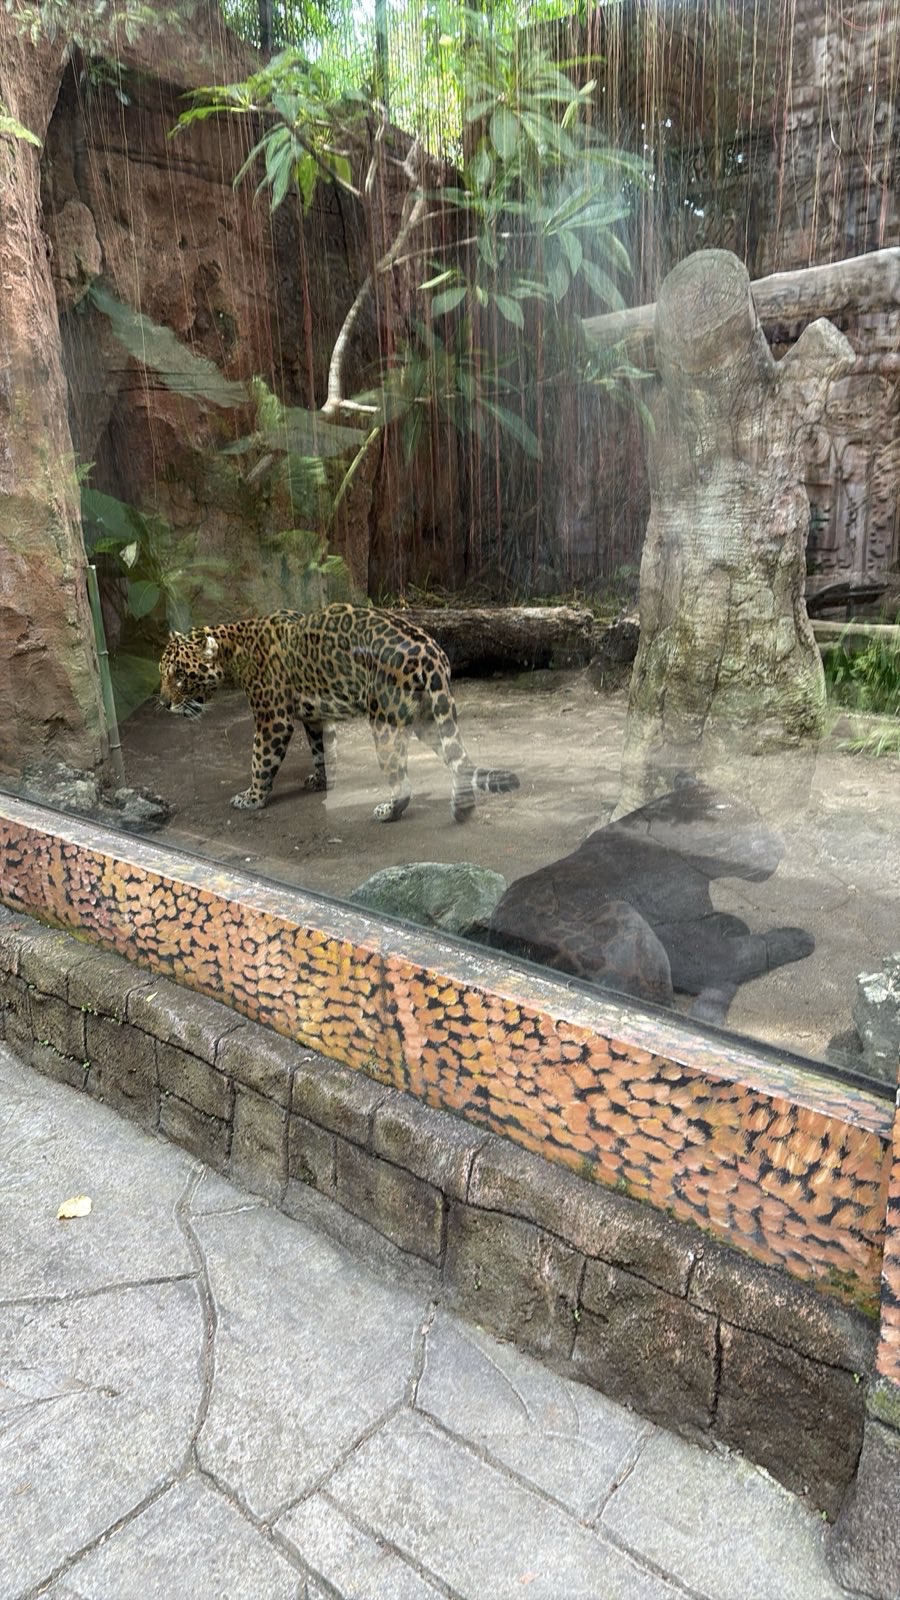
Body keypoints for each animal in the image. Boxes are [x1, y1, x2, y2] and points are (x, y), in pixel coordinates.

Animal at [158, 603, 520, 823]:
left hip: (386, 721)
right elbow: (320, 750)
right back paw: (462, 808)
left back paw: (388, 811)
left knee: (403, 780)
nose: (163, 703)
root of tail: (431, 651)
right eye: (163, 672)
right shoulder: (314, 716)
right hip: (428, 715)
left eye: (180, 675)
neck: (235, 648)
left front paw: (253, 797)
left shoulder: (273, 719)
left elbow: (260, 760)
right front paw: (320, 781)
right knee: (458, 758)